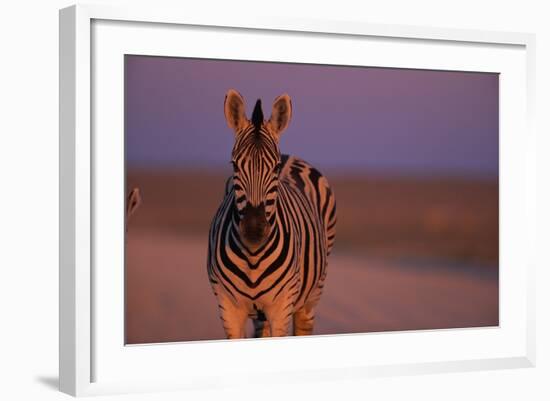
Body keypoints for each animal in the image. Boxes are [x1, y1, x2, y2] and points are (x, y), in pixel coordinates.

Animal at [207, 90, 336, 338]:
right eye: (234, 165)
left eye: (275, 168)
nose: (253, 229)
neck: (253, 257)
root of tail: (290, 155)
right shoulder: (227, 307)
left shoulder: (281, 307)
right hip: (261, 315)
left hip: (312, 295)